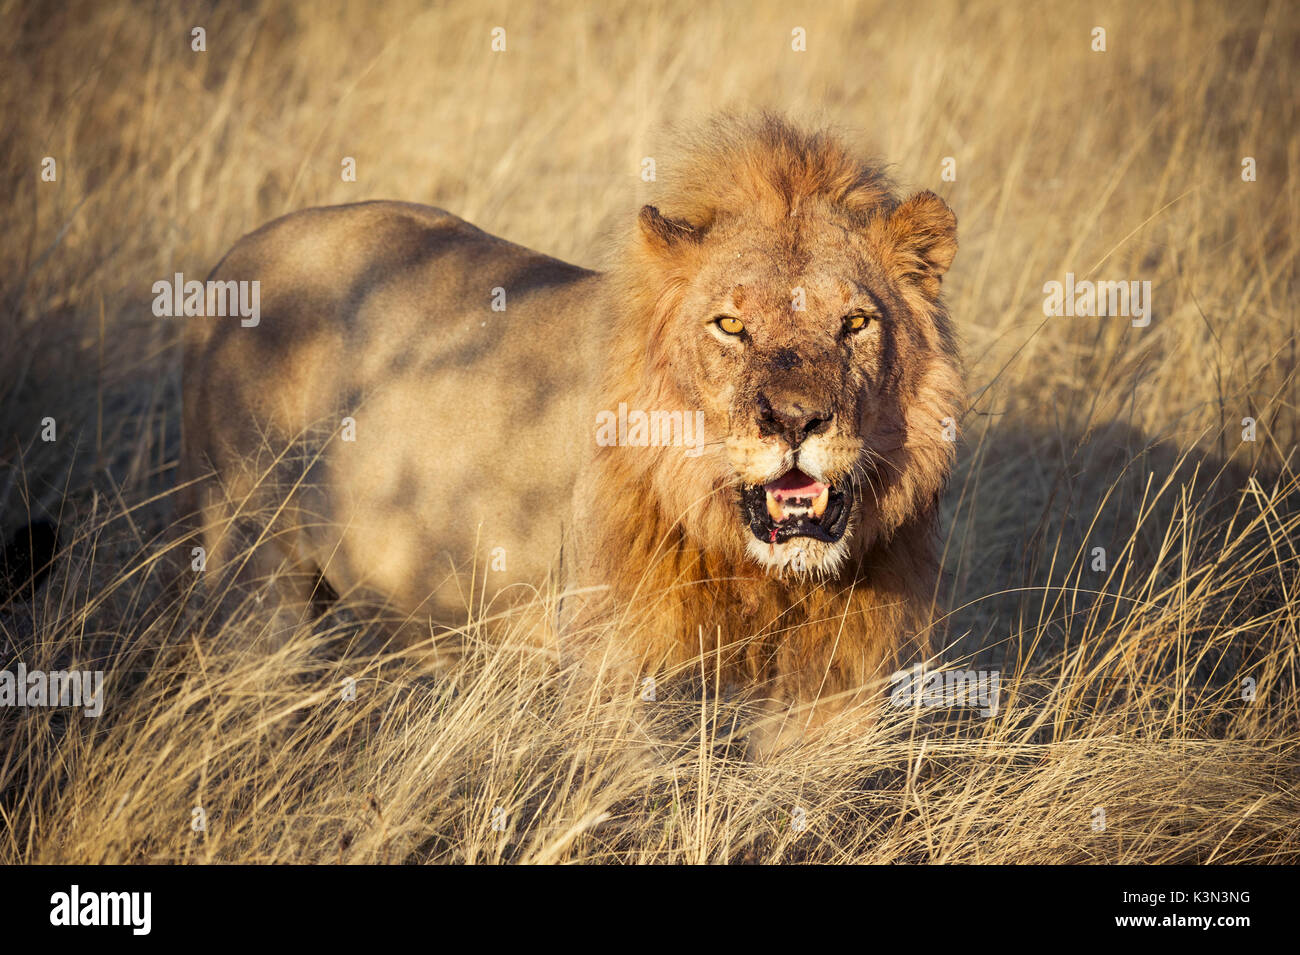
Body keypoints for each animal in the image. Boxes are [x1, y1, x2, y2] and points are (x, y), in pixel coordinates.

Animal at [180, 114, 962, 748]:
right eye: (730, 325)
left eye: (855, 322)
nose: (794, 420)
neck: (757, 572)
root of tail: (231, 260)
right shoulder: (611, 676)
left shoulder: (830, 697)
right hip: (258, 578)